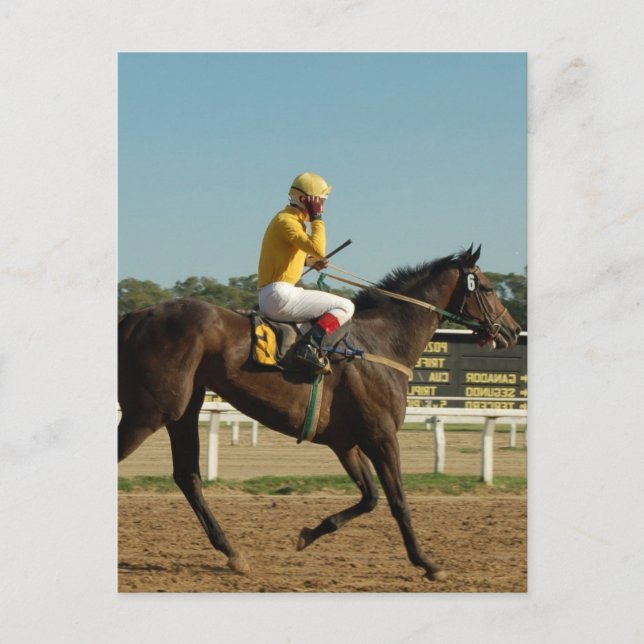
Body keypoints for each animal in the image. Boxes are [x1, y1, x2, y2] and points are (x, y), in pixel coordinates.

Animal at [118, 245, 521, 581]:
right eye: (487, 287)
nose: (514, 330)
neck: (380, 344)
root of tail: (134, 316)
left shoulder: (346, 443)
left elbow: (370, 498)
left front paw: (308, 534)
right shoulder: (382, 437)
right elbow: (398, 502)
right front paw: (427, 562)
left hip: (183, 410)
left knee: (188, 477)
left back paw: (233, 553)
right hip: (149, 411)